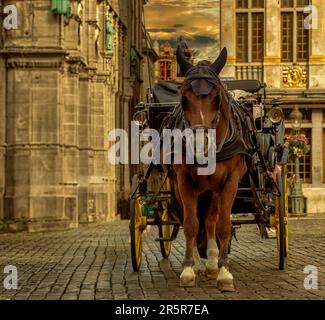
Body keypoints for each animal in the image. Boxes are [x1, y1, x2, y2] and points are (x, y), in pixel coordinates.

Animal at [170, 45, 248, 292]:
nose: (199, 145)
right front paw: (188, 269)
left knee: (212, 218)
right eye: (184, 97)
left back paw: (213, 262)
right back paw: (198, 263)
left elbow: (222, 224)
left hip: (214, 189)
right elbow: (190, 224)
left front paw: (224, 273)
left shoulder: (229, 182)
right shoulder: (183, 181)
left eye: (216, 97)